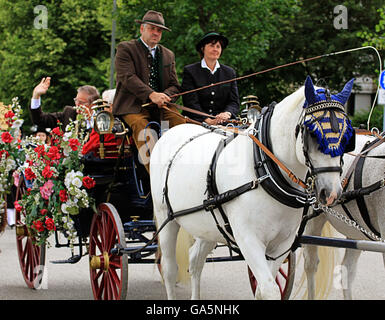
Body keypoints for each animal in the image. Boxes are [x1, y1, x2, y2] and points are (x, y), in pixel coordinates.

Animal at [149, 77, 352, 300]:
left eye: (347, 137)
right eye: (313, 133)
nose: (331, 193)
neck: (263, 172)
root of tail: (172, 131)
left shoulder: (282, 244)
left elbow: (263, 289)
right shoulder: (248, 240)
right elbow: (269, 289)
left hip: (209, 224)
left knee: (195, 260)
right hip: (167, 219)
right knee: (169, 269)